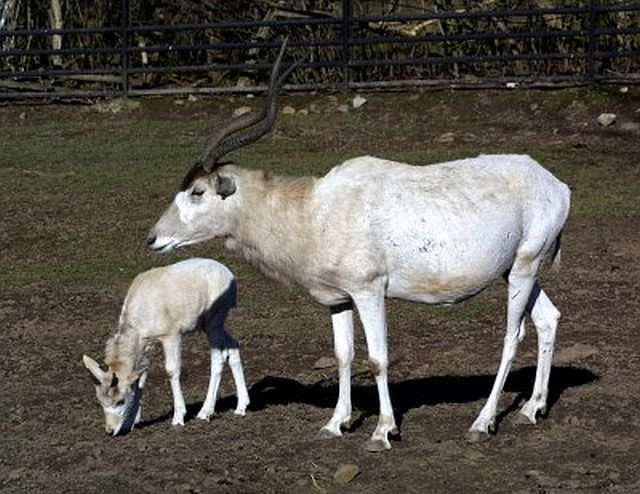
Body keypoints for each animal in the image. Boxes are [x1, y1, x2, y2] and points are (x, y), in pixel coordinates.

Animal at [80, 258, 250, 436]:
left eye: (120, 401)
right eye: (100, 401)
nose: (110, 430)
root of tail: (228, 274)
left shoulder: (171, 335)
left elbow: (171, 370)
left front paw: (178, 417)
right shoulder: (147, 343)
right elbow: (140, 378)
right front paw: (130, 423)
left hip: (214, 321)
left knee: (219, 357)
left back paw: (205, 412)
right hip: (206, 324)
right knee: (233, 344)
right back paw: (241, 407)